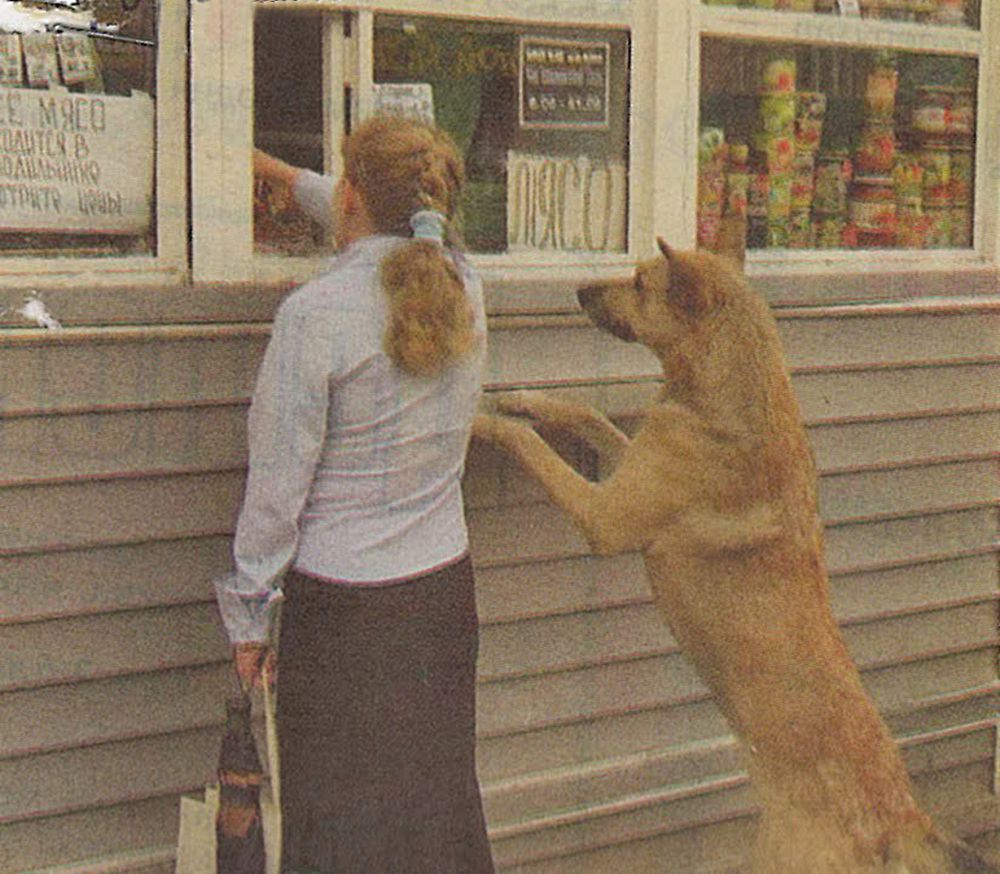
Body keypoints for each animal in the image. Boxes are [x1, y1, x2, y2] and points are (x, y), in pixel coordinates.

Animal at [473, 238, 998, 873]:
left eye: (641, 283)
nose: (578, 291)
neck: (720, 388)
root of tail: (903, 822)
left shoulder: (604, 517)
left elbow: (527, 442)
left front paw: (480, 421)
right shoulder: (627, 467)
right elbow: (584, 414)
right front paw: (525, 398)